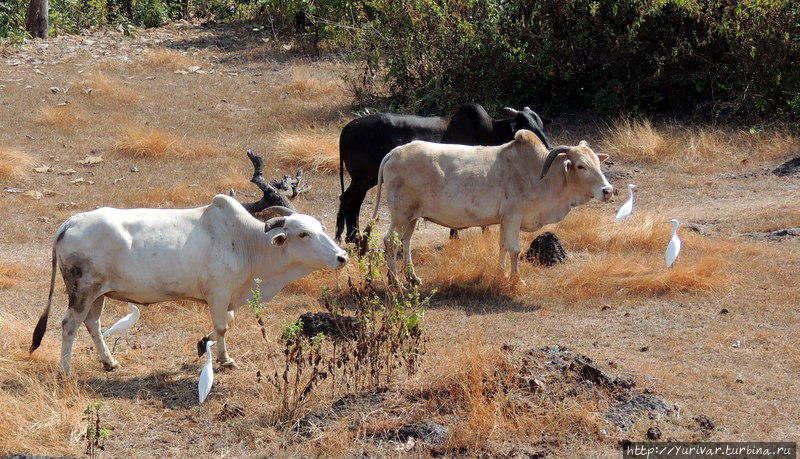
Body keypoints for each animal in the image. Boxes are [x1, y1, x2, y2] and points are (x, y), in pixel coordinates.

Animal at [29, 195, 348, 378]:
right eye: (303, 234)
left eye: (321, 228)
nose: (341, 256)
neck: (247, 242)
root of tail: (71, 222)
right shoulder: (219, 293)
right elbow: (223, 327)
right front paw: (224, 359)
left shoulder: (226, 298)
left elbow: (226, 323)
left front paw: (202, 344)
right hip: (82, 289)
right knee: (70, 324)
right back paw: (65, 371)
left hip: (100, 293)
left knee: (92, 324)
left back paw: (110, 362)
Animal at [336, 102, 552, 243]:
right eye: (525, 125)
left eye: (540, 125)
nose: (547, 147)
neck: (490, 132)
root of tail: (348, 128)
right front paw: (456, 236)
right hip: (363, 178)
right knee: (347, 199)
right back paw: (345, 237)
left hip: (365, 180)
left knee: (354, 202)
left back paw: (353, 237)